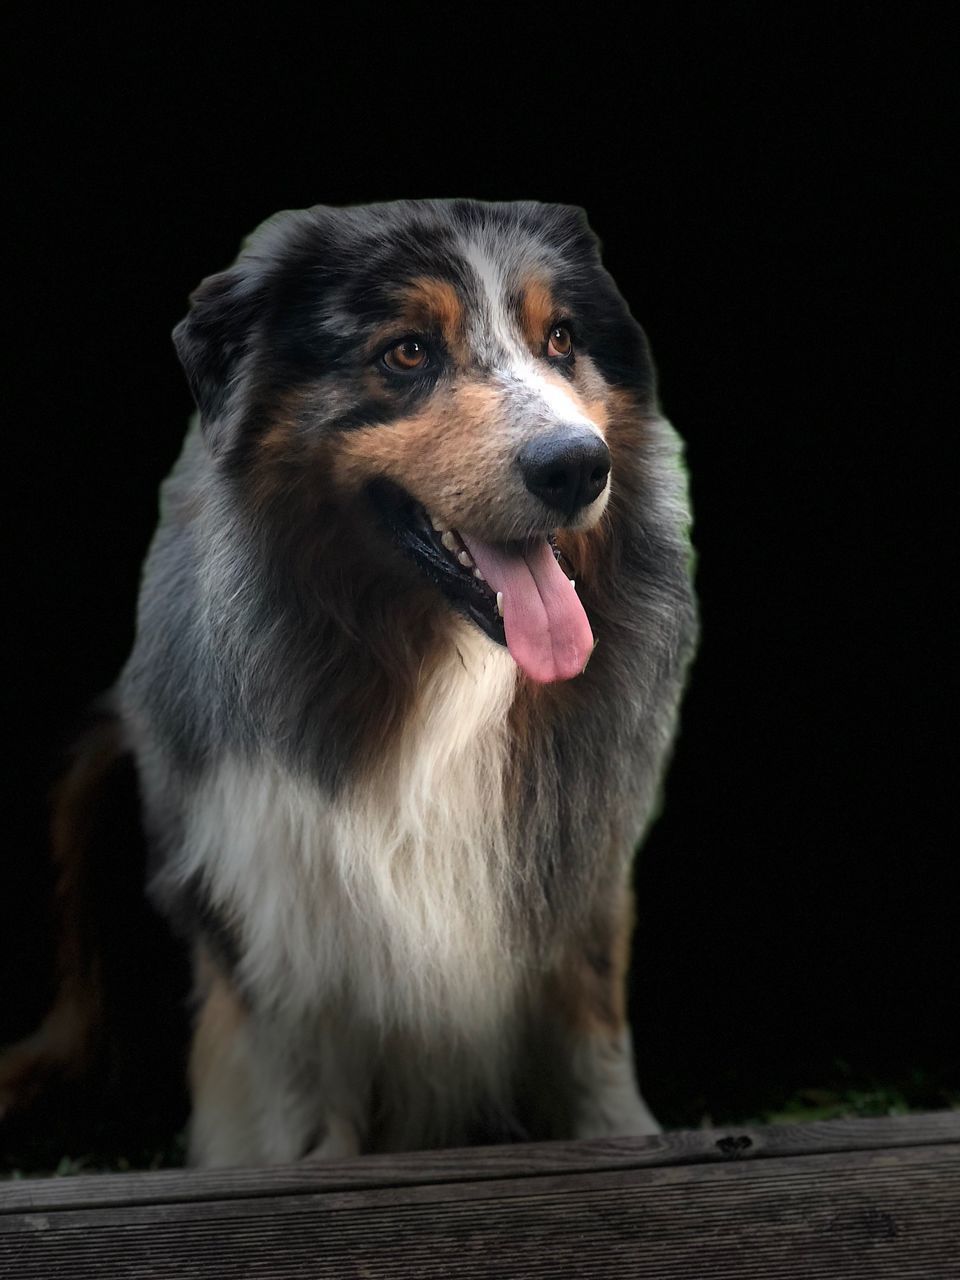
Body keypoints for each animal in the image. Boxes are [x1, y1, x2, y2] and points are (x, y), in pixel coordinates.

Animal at [0, 194, 701, 1167]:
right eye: (406, 351)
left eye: (560, 338)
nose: (577, 466)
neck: (442, 665)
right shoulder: (267, 881)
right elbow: (298, 1078)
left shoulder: (579, 839)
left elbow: (590, 1012)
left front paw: (624, 1140)